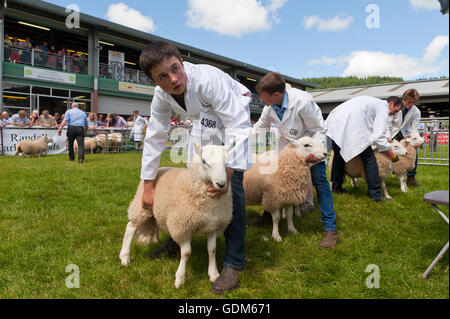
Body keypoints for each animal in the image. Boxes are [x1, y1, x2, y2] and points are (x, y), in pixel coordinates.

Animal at [118, 144, 234, 288]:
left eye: (226, 162)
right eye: (204, 161)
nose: (222, 184)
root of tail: (160, 168)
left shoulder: (213, 226)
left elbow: (212, 250)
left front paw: (214, 274)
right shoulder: (182, 227)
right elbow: (186, 253)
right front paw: (180, 278)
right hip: (142, 206)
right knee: (130, 227)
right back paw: (124, 257)